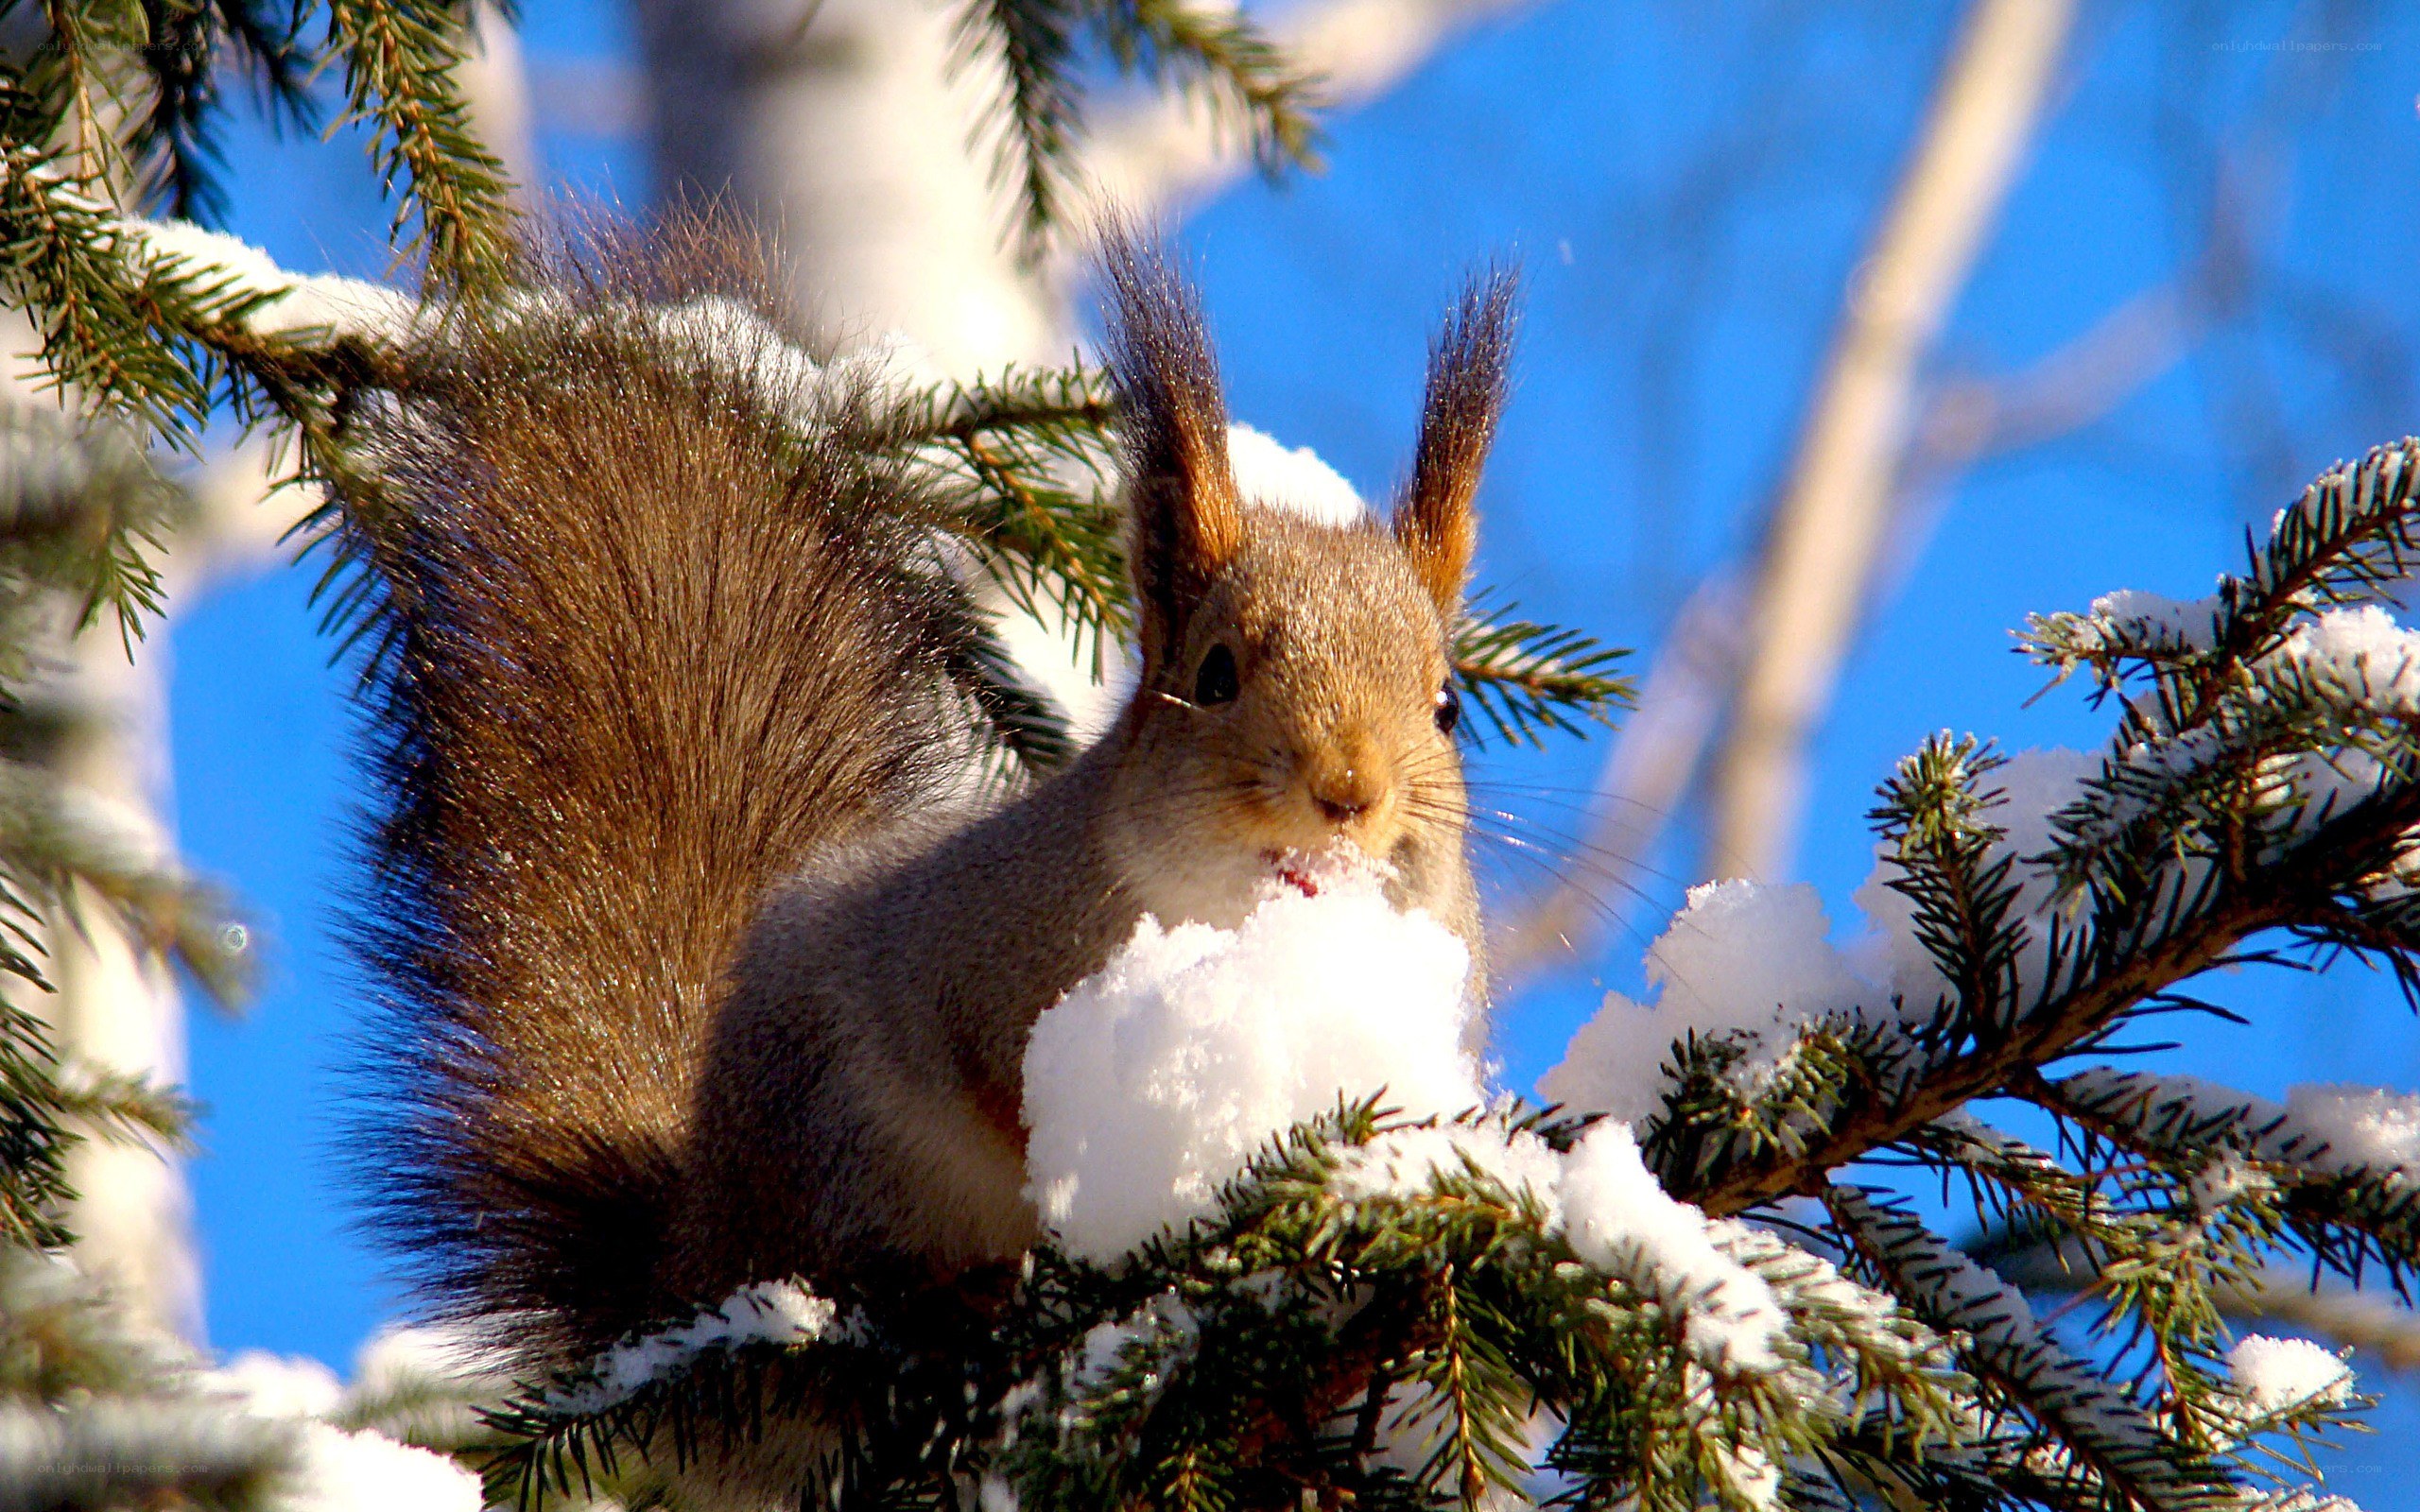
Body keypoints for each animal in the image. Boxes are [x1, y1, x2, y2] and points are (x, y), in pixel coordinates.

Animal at [345, 217, 1515, 1428]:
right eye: (1216, 673)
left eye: (1445, 704)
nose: (1348, 791)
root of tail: (694, 1251)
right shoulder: (971, 961)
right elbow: (1000, 1093)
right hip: (841, 1149)